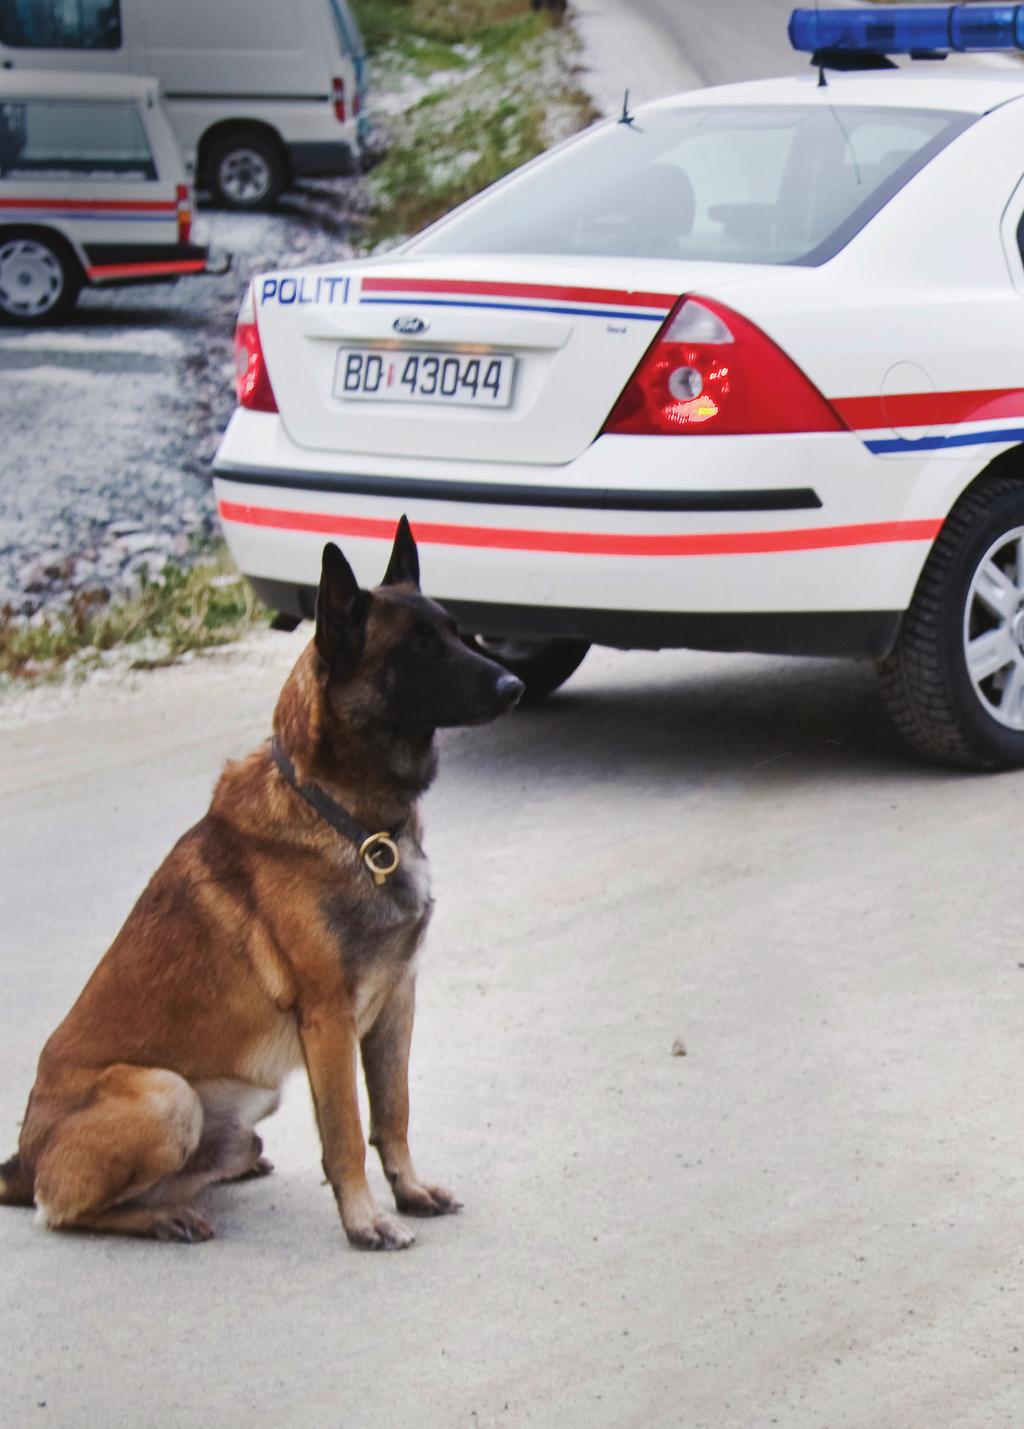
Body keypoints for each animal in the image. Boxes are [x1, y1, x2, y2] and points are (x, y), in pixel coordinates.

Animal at [0, 525, 522, 1251]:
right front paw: (365, 1221)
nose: (515, 684)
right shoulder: (329, 1017)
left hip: (235, 1121)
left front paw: (410, 1191)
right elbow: (346, 1132)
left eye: (453, 629)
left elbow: (394, 1111)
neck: (351, 820)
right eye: (418, 647)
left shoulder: (397, 1001)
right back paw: (162, 1216)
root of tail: (23, 1158)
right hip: (166, 1094)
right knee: (61, 1210)